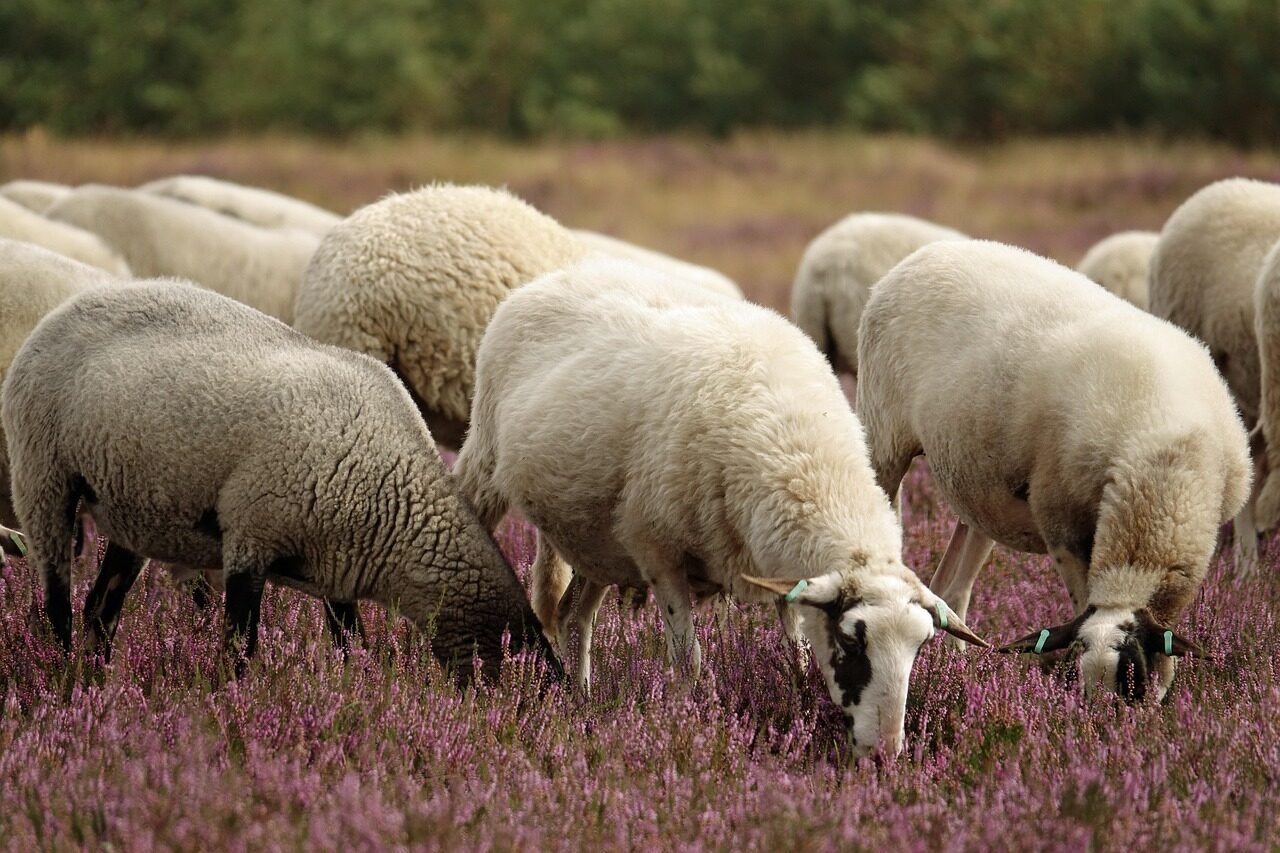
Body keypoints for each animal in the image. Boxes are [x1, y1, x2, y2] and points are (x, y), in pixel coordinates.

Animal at [2, 279, 559, 680]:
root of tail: (68, 307)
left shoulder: (337, 571)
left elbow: (352, 649)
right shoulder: (251, 537)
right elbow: (239, 647)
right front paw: (228, 701)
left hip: (131, 511)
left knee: (100, 611)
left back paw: (96, 682)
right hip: (43, 475)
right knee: (57, 601)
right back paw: (60, 675)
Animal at [453, 256, 987, 758]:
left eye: (920, 646)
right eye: (852, 641)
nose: (887, 752)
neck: (802, 453)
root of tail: (554, 278)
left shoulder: (775, 566)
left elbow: (794, 649)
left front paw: (798, 695)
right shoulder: (658, 552)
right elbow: (688, 662)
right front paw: (684, 724)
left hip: (596, 537)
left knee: (571, 616)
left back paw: (582, 701)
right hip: (486, 457)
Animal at [857, 239, 1250, 703]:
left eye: (1131, 678)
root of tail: (929, 251)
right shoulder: (1062, 521)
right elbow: (1081, 603)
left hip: (981, 486)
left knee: (953, 583)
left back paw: (955, 664)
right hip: (882, 437)